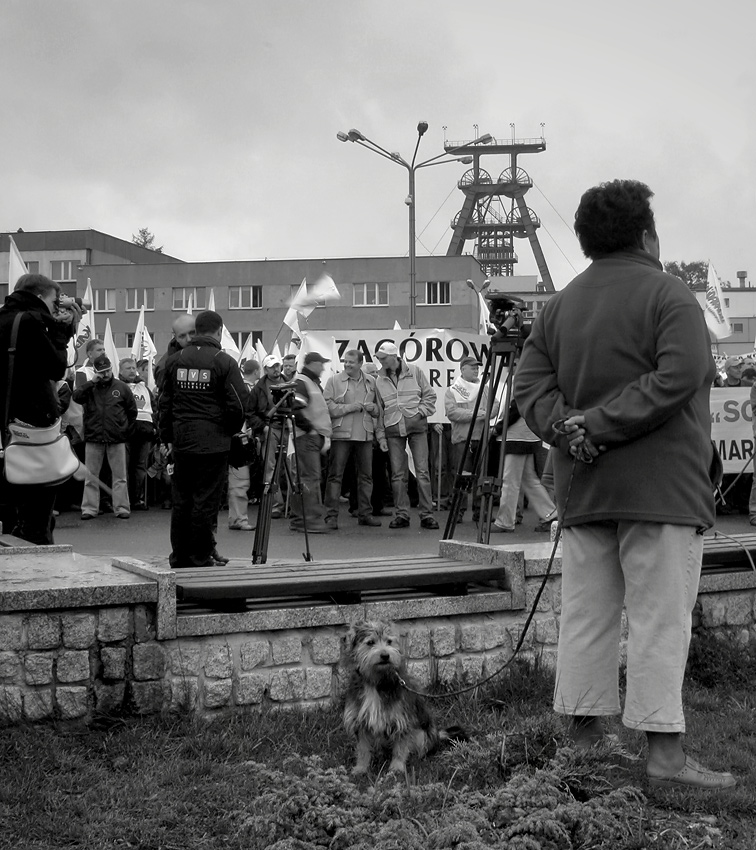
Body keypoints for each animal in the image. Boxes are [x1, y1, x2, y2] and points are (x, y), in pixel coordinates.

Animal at [344, 620, 464, 772]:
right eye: (370, 642)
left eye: (389, 641)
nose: (385, 655)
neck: (376, 681)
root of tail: (437, 735)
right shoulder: (360, 721)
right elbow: (363, 749)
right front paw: (361, 768)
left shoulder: (401, 719)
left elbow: (400, 747)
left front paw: (396, 768)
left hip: (421, 734)